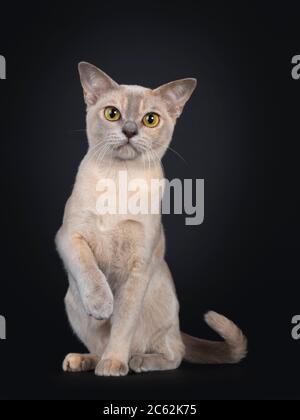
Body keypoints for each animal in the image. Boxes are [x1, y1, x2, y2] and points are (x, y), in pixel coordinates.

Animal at [55, 62, 247, 378]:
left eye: (150, 119)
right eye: (113, 114)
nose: (130, 130)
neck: (119, 180)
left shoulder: (139, 267)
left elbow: (122, 324)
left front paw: (114, 365)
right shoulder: (69, 236)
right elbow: (89, 270)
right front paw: (101, 305)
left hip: (162, 307)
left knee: (173, 353)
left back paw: (136, 361)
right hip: (71, 302)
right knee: (99, 345)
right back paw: (81, 360)